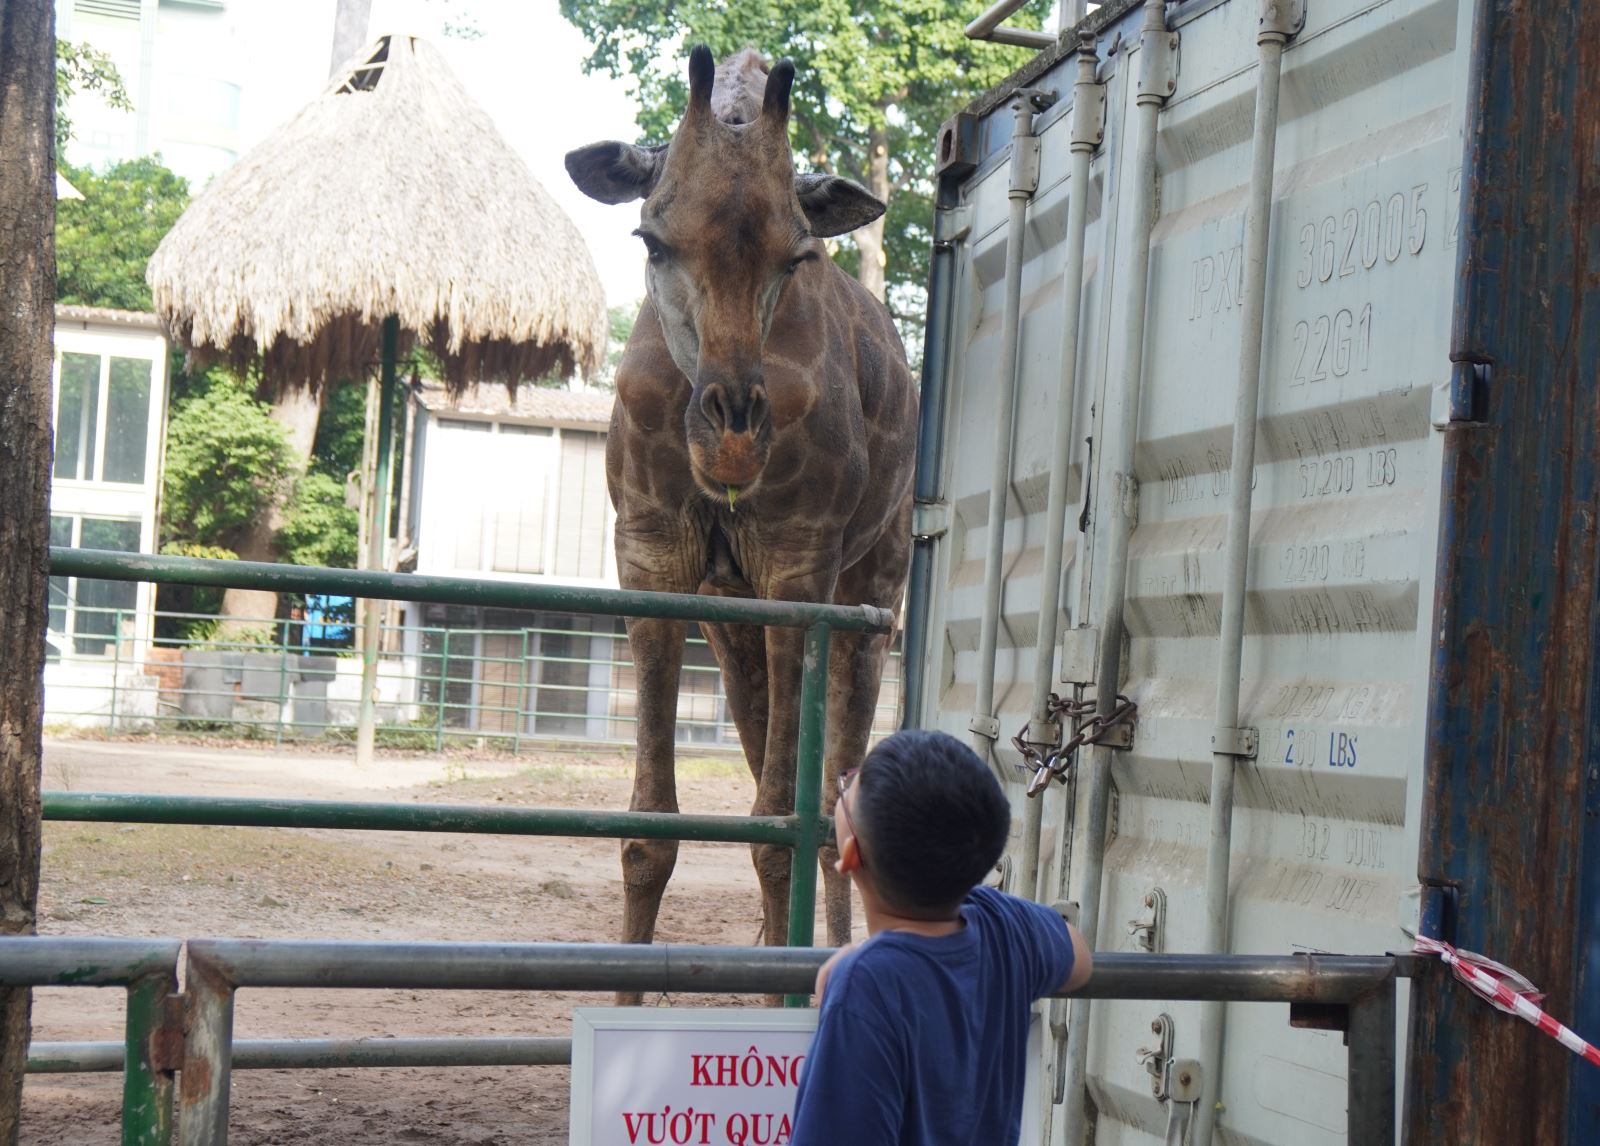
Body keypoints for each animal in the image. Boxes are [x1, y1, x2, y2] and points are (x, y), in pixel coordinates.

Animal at [566, 47, 915, 973]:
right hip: (733, 617)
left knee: (834, 798)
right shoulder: (653, 557)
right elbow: (649, 829)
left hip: (873, 598)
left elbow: (781, 826)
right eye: (652, 240)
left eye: (797, 257)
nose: (732, 441)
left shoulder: (801, 566)